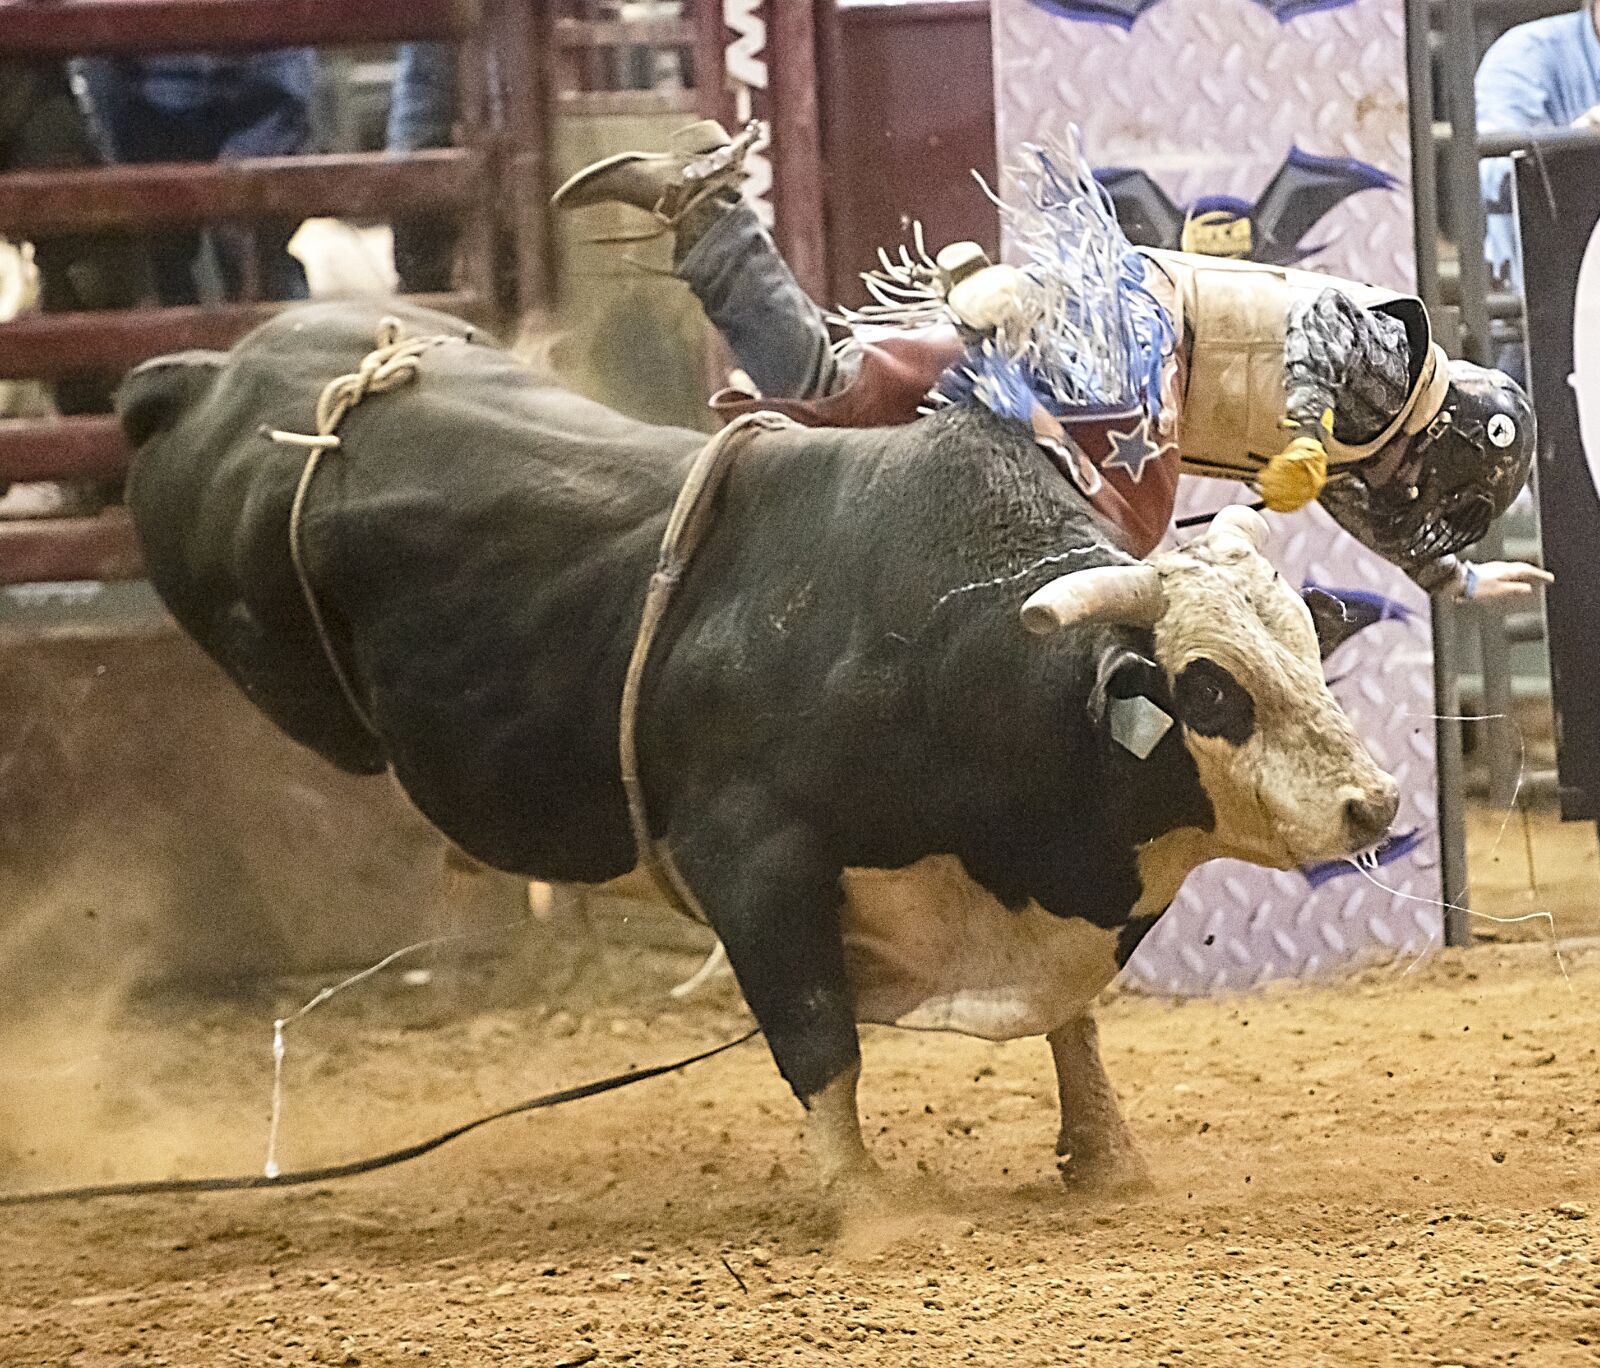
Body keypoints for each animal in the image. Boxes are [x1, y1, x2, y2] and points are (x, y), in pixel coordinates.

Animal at [124, 305, 1395, 1203]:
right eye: (1210, 688)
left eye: (1302, 651)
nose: (1371, 805)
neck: (945, 654)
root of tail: (201, 373)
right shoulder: (754, 862)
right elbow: (817, 1036)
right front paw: (861, 1204)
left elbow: (1069, 1024)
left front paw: (1105, 1156)